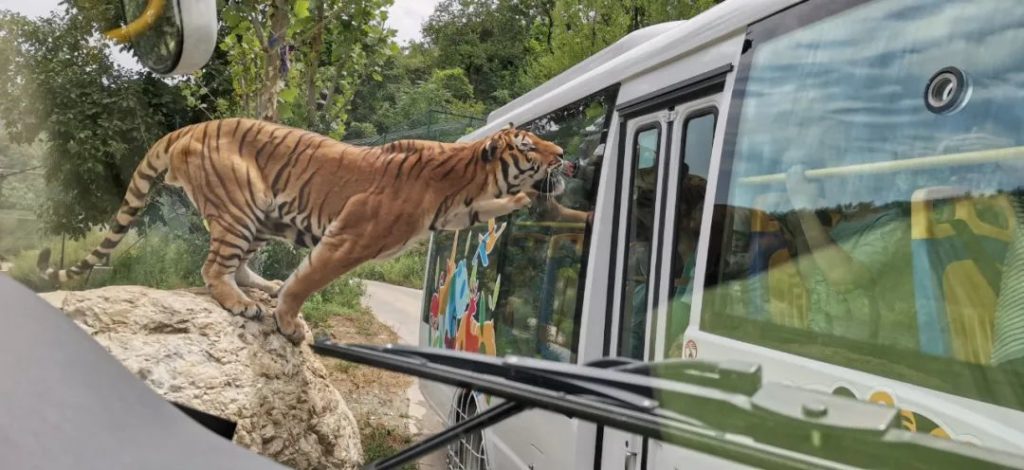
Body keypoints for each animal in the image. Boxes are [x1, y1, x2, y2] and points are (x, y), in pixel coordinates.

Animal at [37, 118, 569, 346]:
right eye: (528, 146)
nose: (563, 153)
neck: (465, 179)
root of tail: (188, 128)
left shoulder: (455, 212)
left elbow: (485, 210)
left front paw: (519, 202)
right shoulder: (350, 237)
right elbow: (308, 280)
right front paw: (290, 324)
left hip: (260, 219)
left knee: (238, 263)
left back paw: (259, 287)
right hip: (242, 203)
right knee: (213, 267)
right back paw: (243, 303)